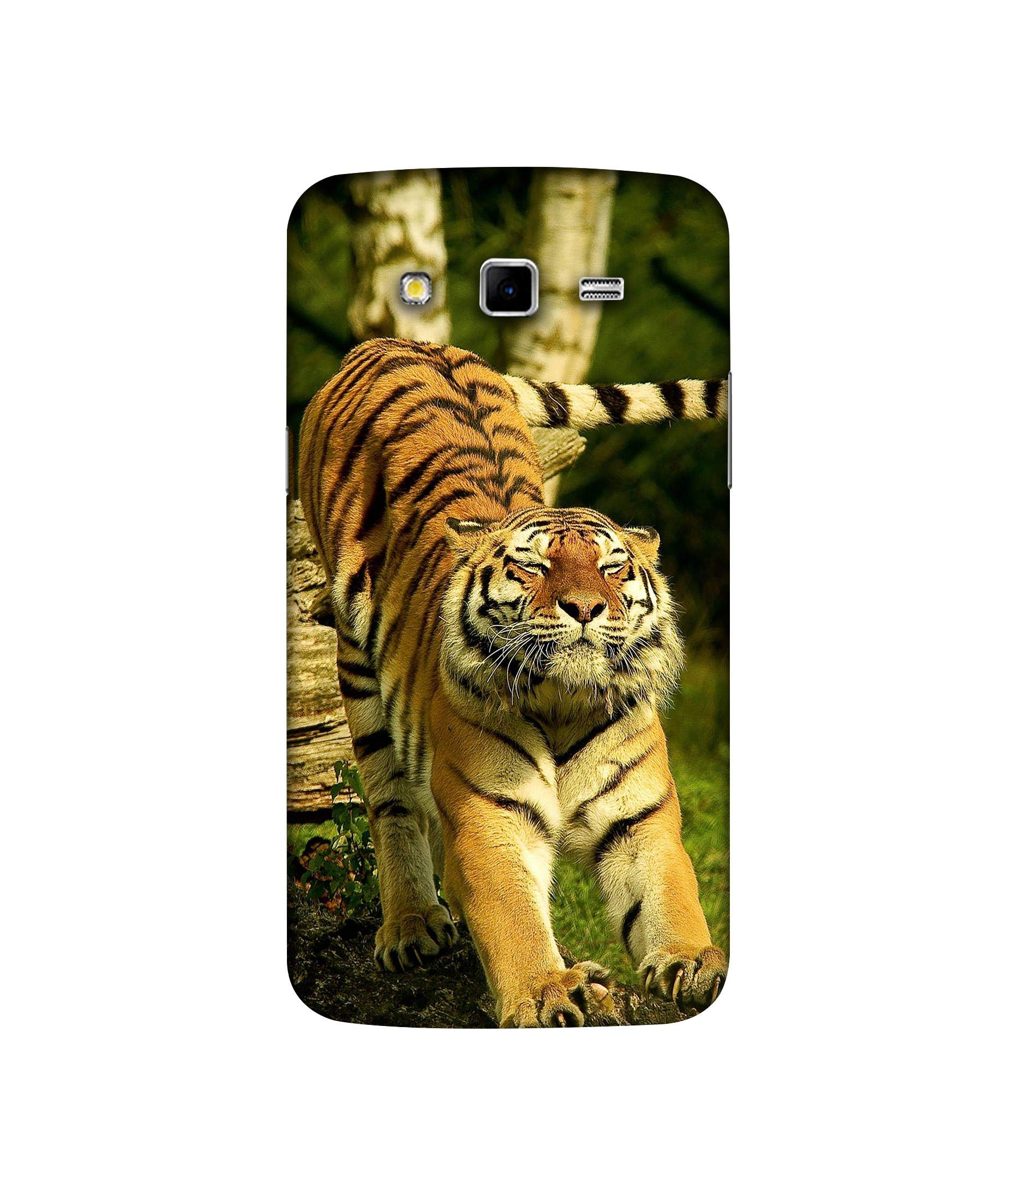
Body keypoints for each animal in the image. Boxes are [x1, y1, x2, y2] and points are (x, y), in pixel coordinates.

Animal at [298, 337, 727, 1027]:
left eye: (612, 568)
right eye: (535, 568)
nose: (585, 607)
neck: (564, 703)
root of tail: (397, 341)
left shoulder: (641, 817)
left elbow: (670, 895)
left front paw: (692, 962)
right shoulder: (490, 816)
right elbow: (512, 916)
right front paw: (545, 989)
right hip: (357, 667)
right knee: (391, 800)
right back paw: (412, 925)